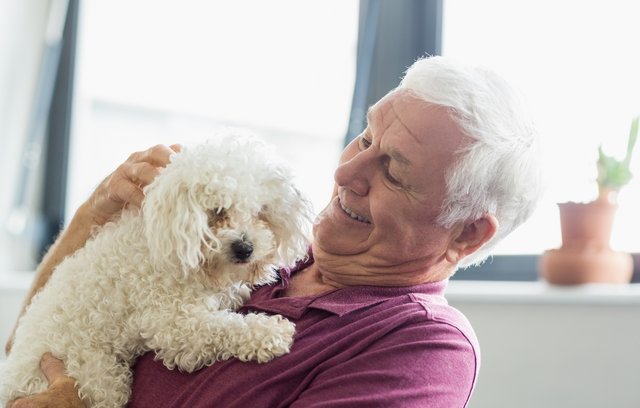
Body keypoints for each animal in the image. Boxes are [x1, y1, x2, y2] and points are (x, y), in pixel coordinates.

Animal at [0, 132, 314, 406]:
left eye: (261, 211)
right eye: (217, 211)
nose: (244, 248)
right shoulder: (174, 325)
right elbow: (224, 327)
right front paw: (268, 331)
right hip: (99, 378)